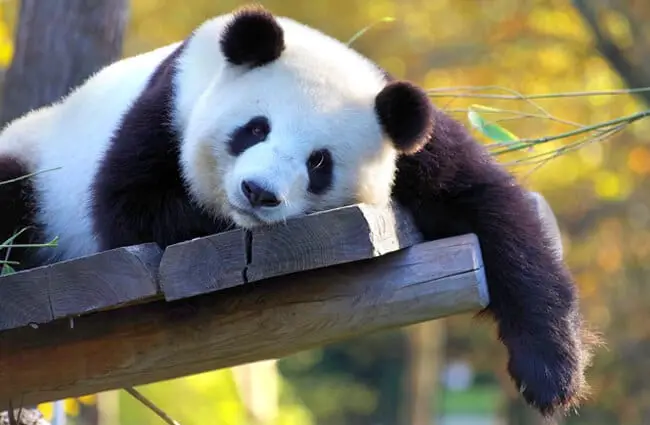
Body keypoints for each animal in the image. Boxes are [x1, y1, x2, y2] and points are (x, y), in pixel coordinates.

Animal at [0, 4, 596, 418]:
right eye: (255, 128)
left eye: (319, 163)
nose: (258, 193)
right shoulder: (165, 107)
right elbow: (130, 207)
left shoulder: (408, 138)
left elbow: (491, 207)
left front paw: (552, 374)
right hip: (36, 164)